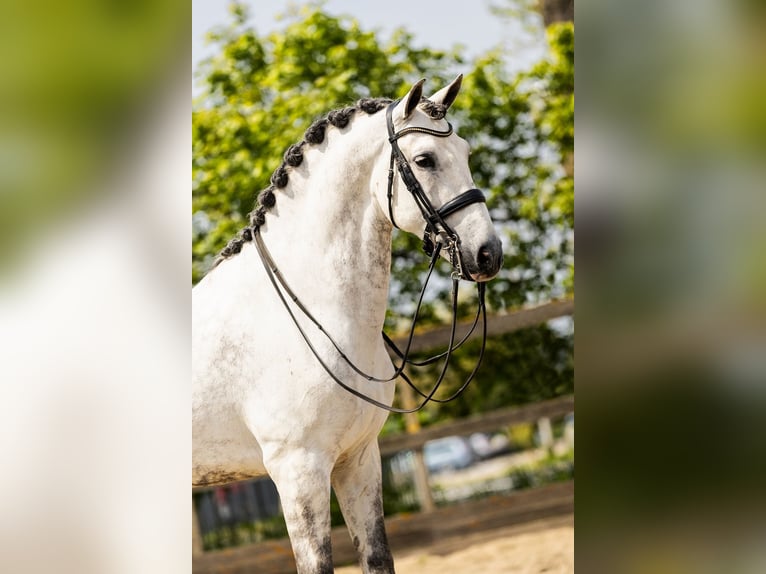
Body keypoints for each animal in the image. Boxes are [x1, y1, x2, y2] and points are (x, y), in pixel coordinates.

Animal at [192, 77, 504, 574]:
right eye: (424, 160)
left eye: (467, 152)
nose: (488, 254)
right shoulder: (298, 471)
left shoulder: (359, 459)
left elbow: (378, 557)